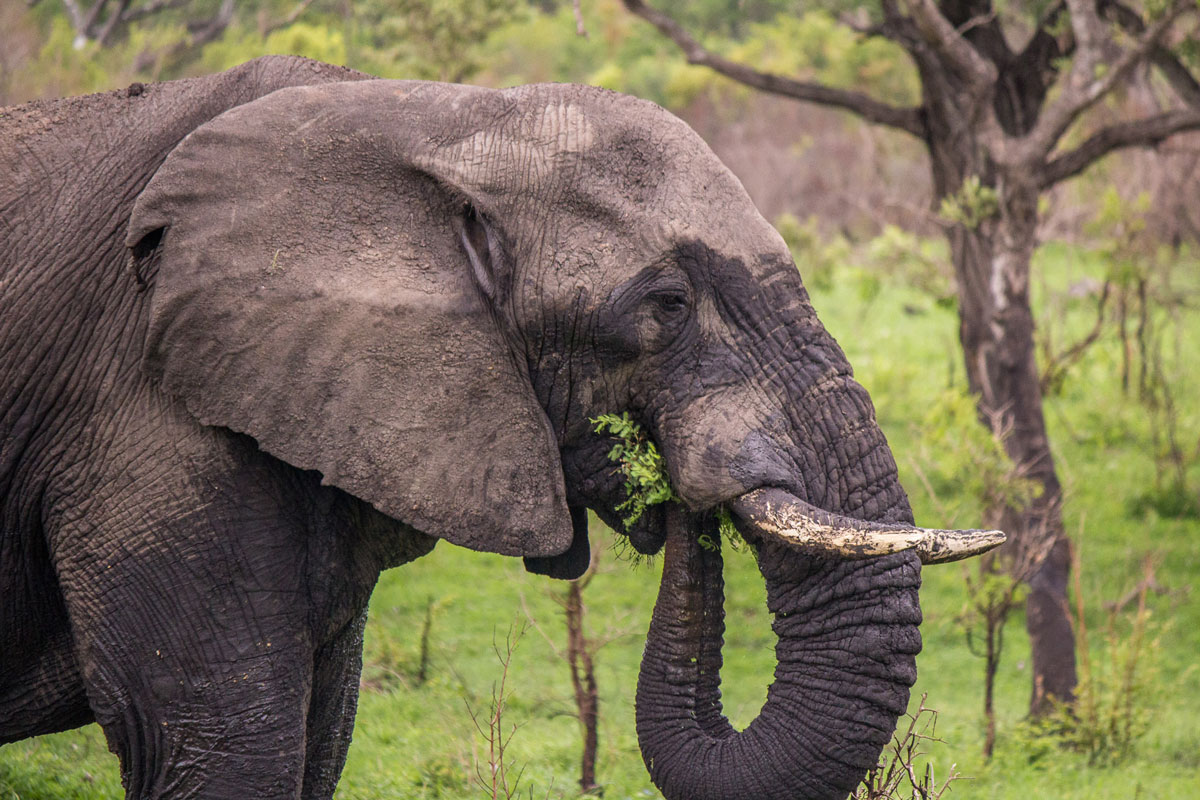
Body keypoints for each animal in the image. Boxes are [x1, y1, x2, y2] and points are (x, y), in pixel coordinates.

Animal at [0, 56, 1002, 800]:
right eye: (668, 305)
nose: (677, 492)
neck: (444, 121)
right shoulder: (145, 422)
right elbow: (218, 740)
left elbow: (318, 737)